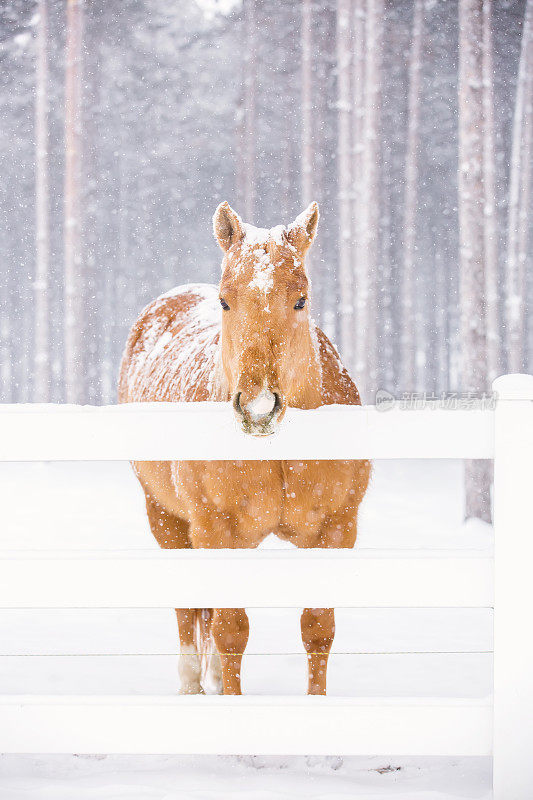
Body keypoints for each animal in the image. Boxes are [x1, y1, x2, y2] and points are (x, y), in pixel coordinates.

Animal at [118, 200, 370, 692]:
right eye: (225, 300)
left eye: (301, 299)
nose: (258, 408)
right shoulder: (214, 530)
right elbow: (231, 630)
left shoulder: (336, 529)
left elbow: (318, 629)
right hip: (167, 520)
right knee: (189, 612)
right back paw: (193, 685)